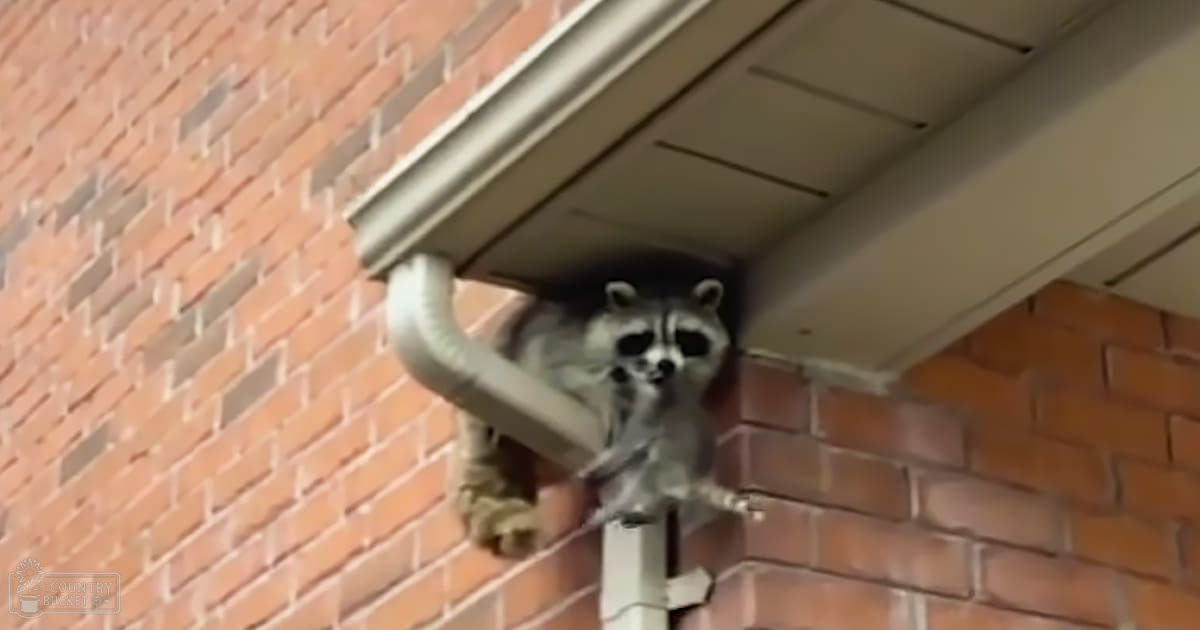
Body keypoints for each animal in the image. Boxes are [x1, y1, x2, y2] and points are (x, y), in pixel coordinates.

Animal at [452, 256, 740, 558]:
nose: (666, 364)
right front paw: (608, 401)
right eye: (644, 337)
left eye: (684, 336)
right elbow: (567, 372)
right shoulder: (571, 343)